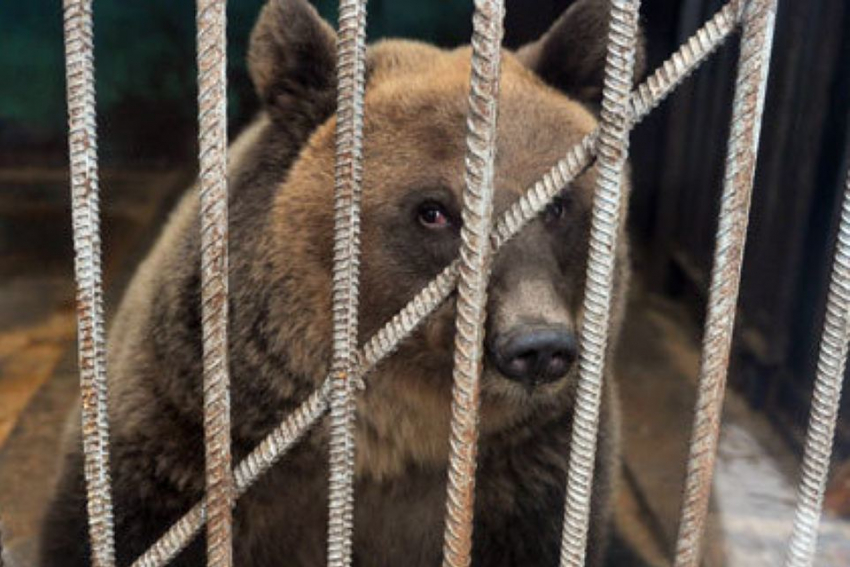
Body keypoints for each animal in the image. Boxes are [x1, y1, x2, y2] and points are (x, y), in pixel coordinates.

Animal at [36, 1, 640, 567]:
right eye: (433, 211)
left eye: (558, 204)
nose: (536, 345)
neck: (393, 439)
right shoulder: (179, 440)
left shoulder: (533, 478)